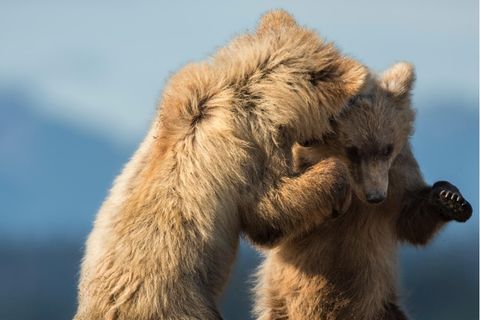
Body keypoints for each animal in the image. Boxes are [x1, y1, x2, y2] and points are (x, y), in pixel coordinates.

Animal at [73, 10, 366, 320]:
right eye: (337, 115)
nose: (319, 138)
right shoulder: (254, 145)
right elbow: (269, 210)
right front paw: (337, 183)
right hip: (181, 302)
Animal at [255, 62, 472, 320]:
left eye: (387, 148)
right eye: (353, 150)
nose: (376, 196)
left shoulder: (397, 177)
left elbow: (412, 222)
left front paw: (449, 198)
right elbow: (273, 214)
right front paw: (332, 181)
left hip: (383, 305)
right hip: (280, 304)